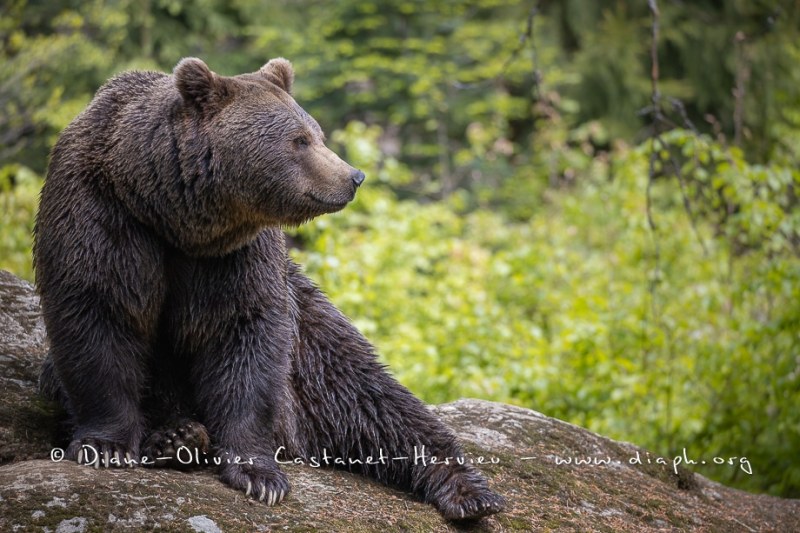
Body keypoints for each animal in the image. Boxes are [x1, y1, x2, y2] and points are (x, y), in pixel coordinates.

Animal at [34, 57, 506, 520]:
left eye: (317, 133)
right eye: (299, 141)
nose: (353, 176)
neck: (171, 213)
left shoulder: (237, 257)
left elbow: (246, 335)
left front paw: (259, 475)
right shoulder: (103, 215)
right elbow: (98, 313)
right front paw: (105, 446)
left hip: (310, 341)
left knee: (368, 394)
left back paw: (469, 491)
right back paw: (176, 436)